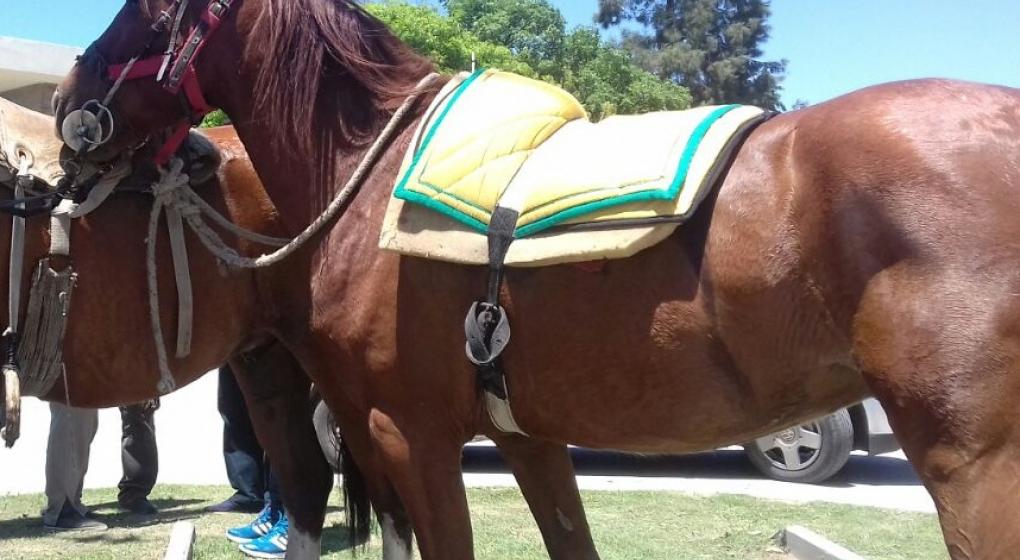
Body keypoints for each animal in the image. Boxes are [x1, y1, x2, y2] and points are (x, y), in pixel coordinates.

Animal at [54, 1, 1020, 558]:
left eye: (143, 11)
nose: (67, 105)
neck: (369, 171)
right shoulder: (529, 440)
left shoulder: (409, 435)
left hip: (974, 468)